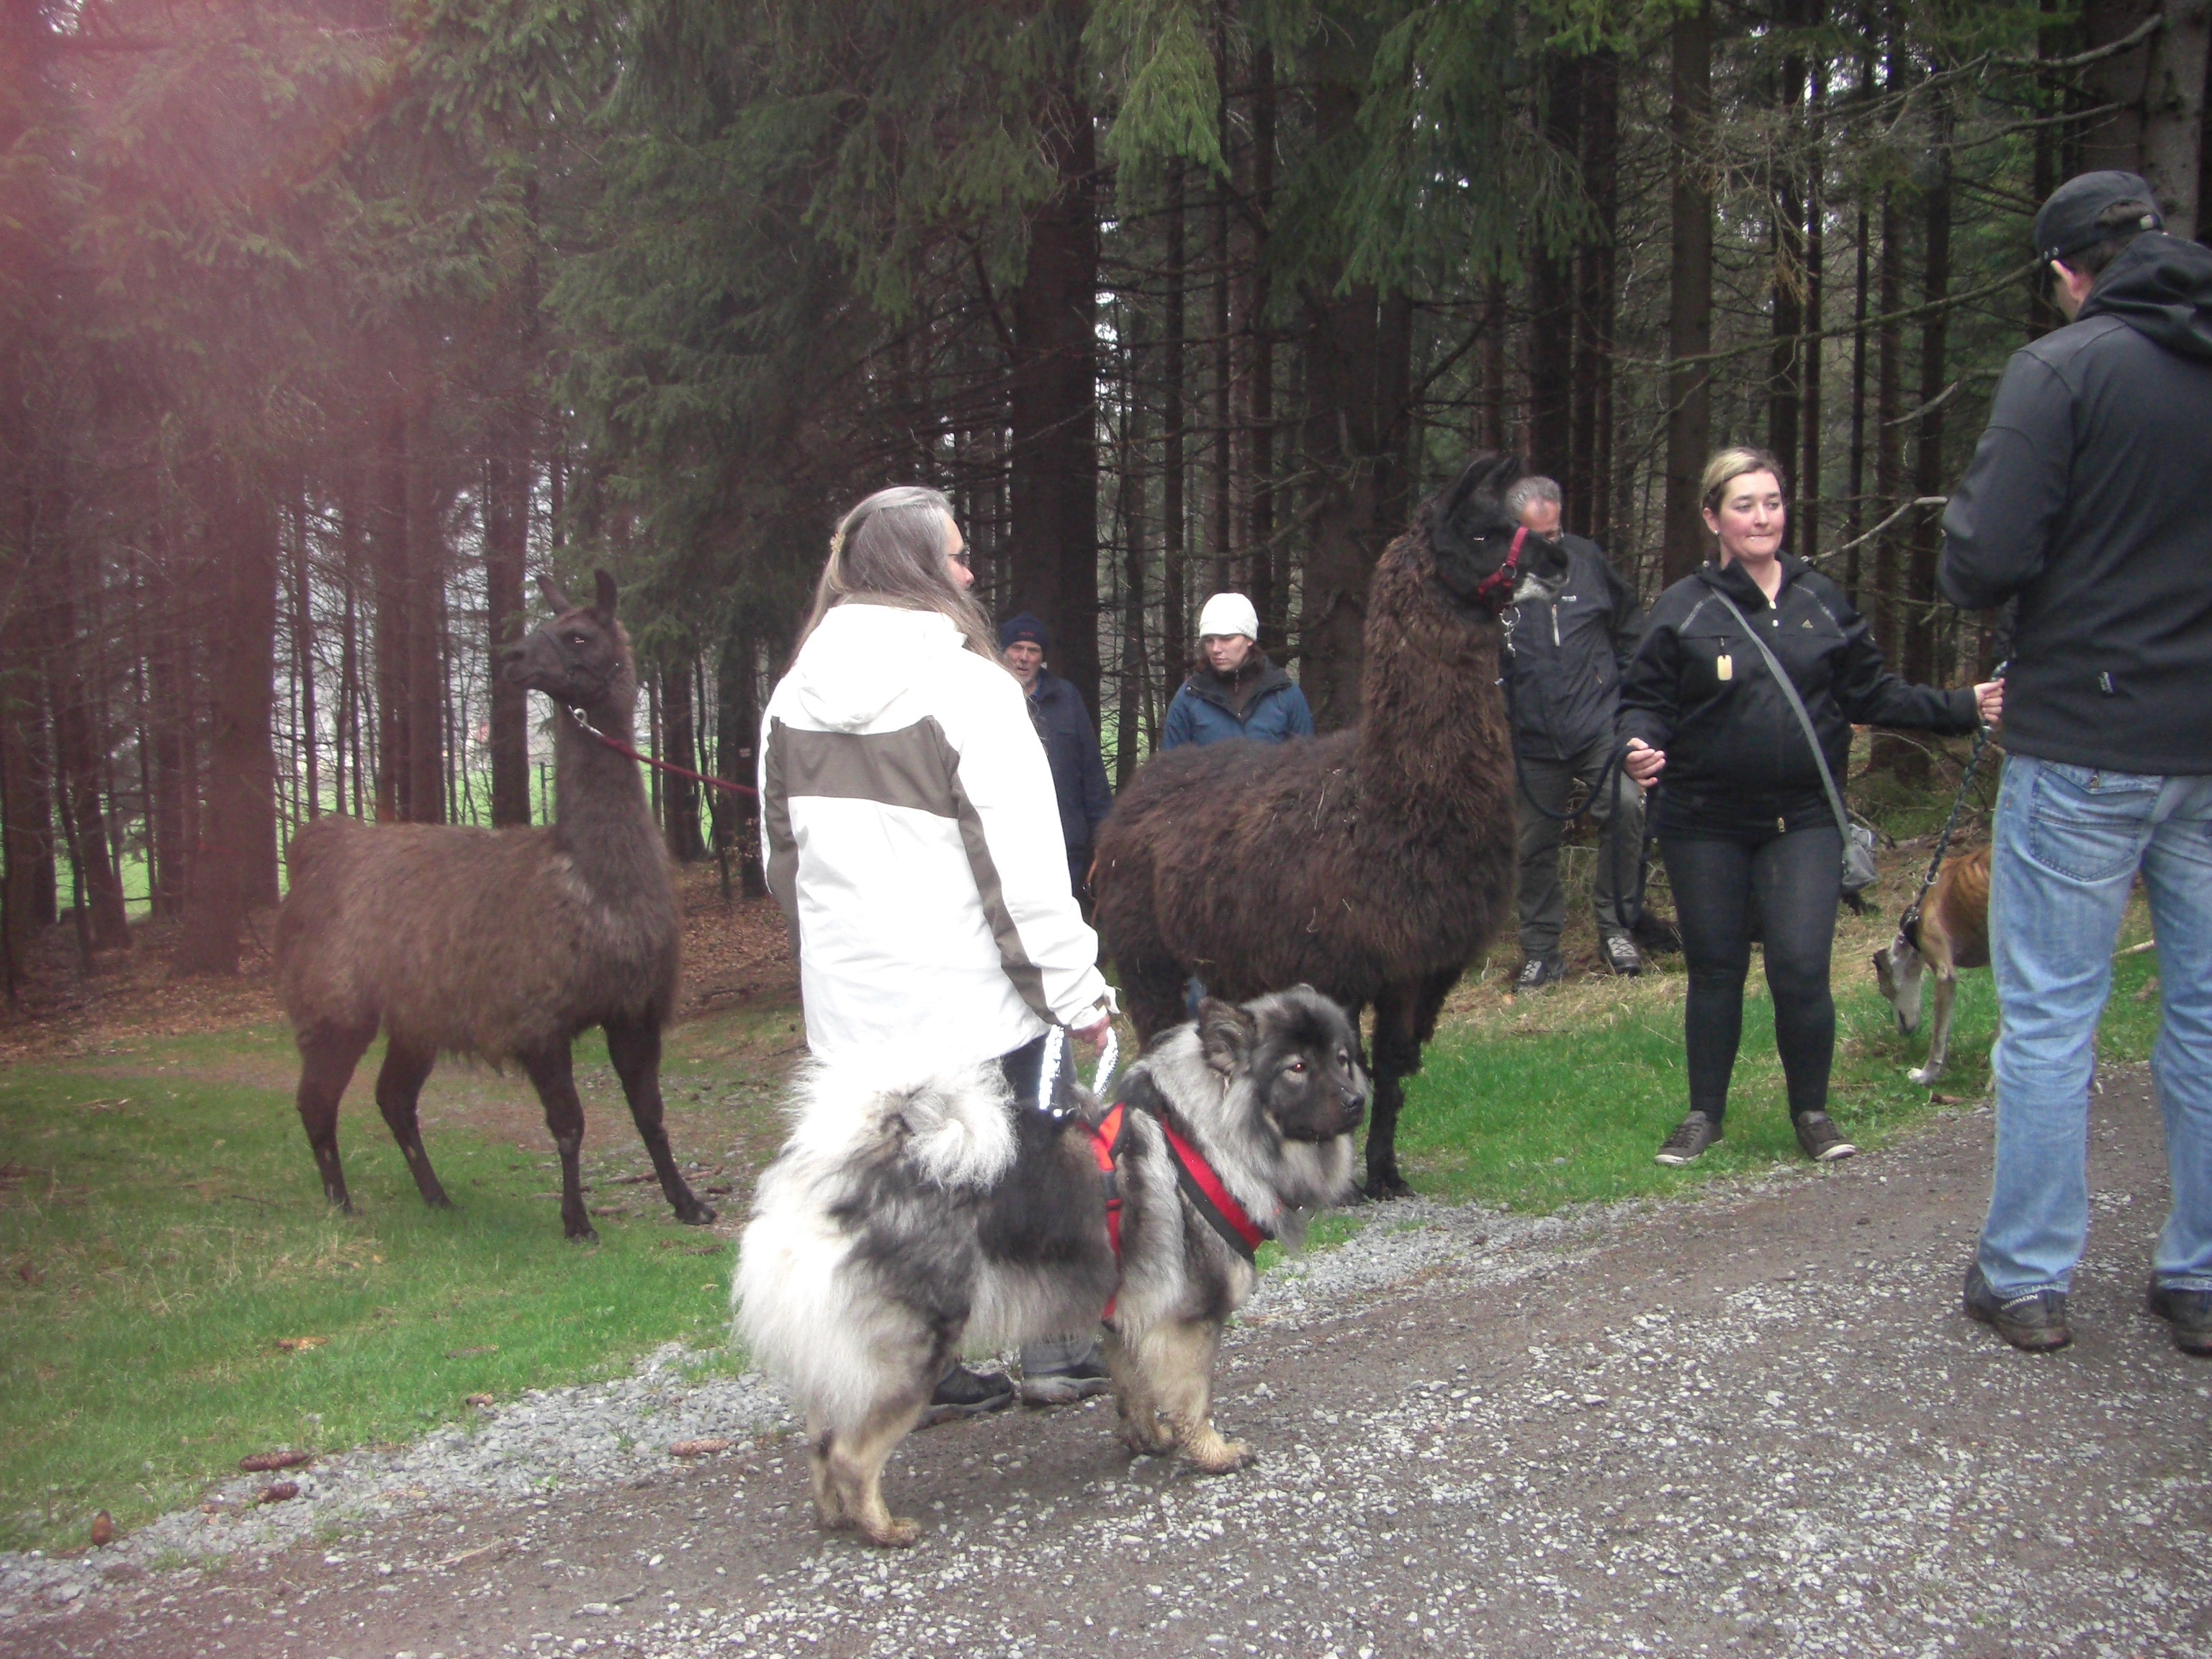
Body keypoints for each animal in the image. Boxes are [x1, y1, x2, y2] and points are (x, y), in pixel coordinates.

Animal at [739, 986, 1362, 1548]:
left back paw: (835, 1516)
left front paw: (1149, 1439)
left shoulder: (1130, 1316)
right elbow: (1193, 1397)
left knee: (819, 1441)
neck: (1207, 1139)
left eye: (1342, 1058)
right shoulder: (1186, 1320)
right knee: (850, 1453)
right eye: (1297, 1068)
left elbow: (1135, 1388)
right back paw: (882, 1528)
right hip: (906, 1357)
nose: (1357, 1100)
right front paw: (1211, 1452)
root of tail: (834, 1182)